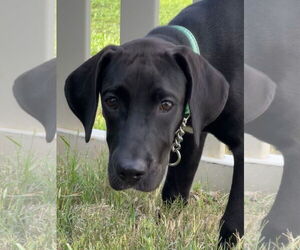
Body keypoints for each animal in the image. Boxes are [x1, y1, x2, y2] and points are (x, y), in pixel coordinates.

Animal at [65, 0, 244, 246]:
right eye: (111, 101)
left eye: (166, 105)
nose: (130, 172)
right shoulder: (191, 134)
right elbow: (174, 192)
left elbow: (235, 210)